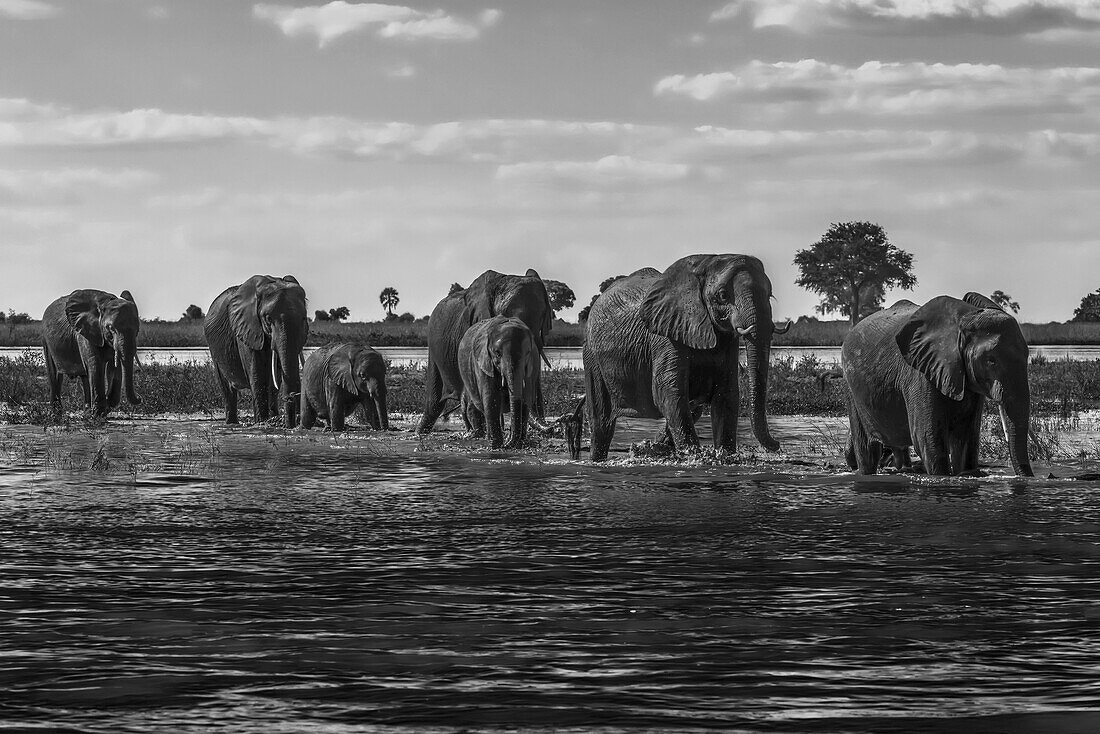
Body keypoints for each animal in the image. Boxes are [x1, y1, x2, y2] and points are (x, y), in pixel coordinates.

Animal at [205, 274, 310, 424]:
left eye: (303, 318)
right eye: (268, 319)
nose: (291, 397)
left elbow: (276, 378)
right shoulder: (246, 329)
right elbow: (258, 375)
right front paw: (261, 423)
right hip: (214, 349)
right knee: (227, 389)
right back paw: (232, 423)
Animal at [455, 316, 541, 448]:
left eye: (527, 353)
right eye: (497, 353)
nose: (508, 441)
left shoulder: (531, 366)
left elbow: (525, 398)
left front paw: (517, 444)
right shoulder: (483, 362)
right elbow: (491, 398)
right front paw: (496, 445)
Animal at [585, 253, 783, 459]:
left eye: (770, 295)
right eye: (722, 295)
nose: (777, 444)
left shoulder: (727, 339)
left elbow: (726, 394)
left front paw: (725, 456)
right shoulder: (665, 333)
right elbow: (668, 391)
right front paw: (694, 455)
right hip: (592, 356)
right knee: (601, 422)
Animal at [836, 294, 1034, 479]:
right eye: (991, 360)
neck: (963, 320)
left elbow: (965, 439)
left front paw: (967, 474)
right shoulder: (920, 372)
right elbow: (926, 437)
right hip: (849, 385)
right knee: (867, 450)